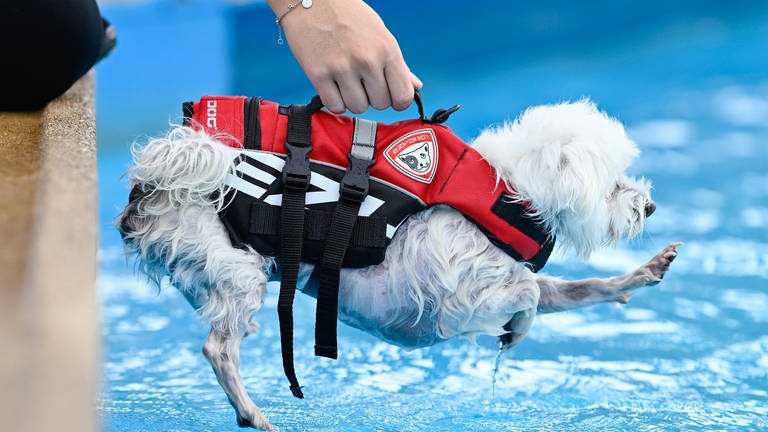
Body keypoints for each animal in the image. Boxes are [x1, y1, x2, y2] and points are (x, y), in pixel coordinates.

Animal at [118, 100, 680, 428]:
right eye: (614, 184)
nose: (650, 206)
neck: (506, 194)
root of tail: (154, 184)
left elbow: (571, 290)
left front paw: (637, 276)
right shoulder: (454, 306)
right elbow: (526, 293)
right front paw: (518, 329)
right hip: (235, 265)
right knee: (218, 348)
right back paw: (252, 412)